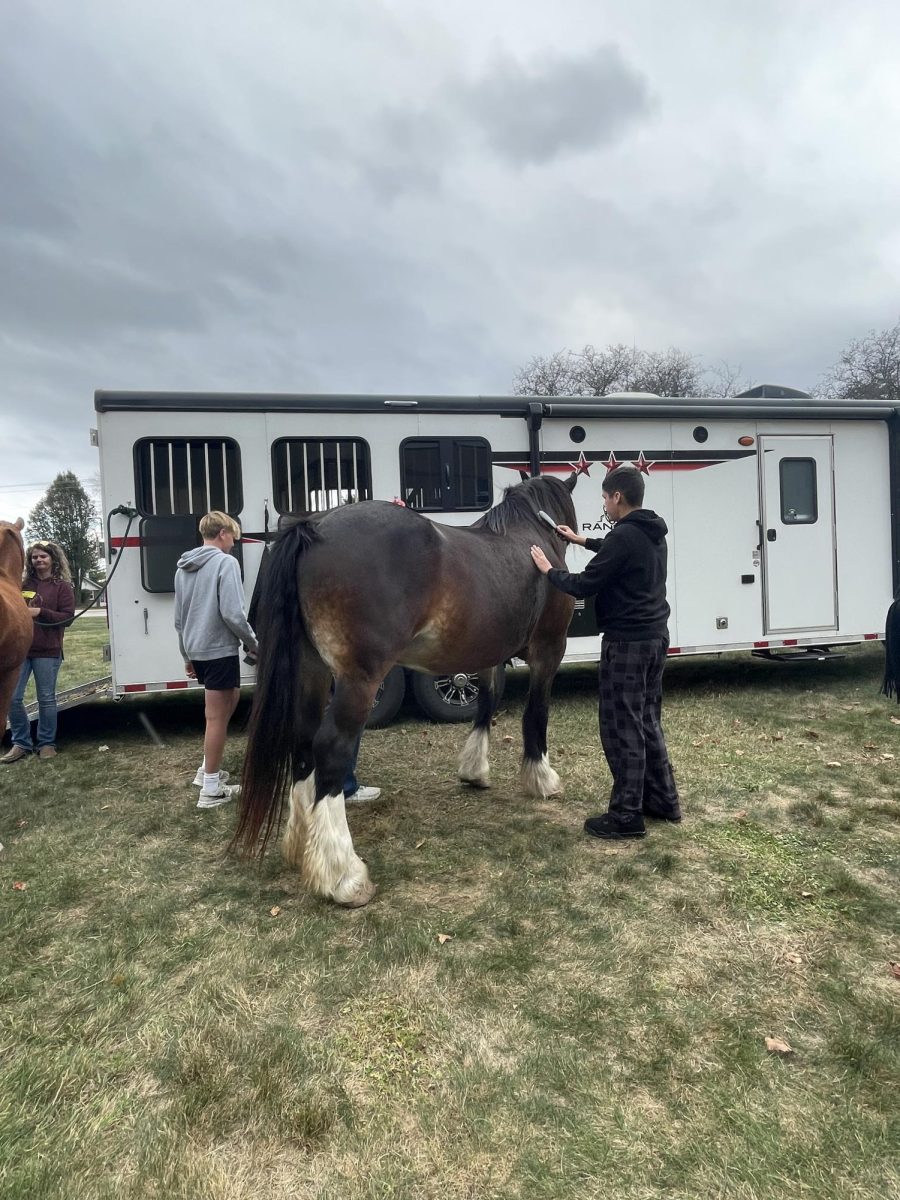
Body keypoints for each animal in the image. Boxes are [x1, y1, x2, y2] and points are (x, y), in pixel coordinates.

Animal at [234, 472, 578, 902]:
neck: (530, 537)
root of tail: (314, 528)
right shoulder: (549, 649)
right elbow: (536, 712)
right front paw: (541, 778)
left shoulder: (487, 655)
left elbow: (487, 703)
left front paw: (474, 771)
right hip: (359, 680)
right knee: (330, 749)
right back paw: (343, 876)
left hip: (311, 669)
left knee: (302, 741)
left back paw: (300, 849)